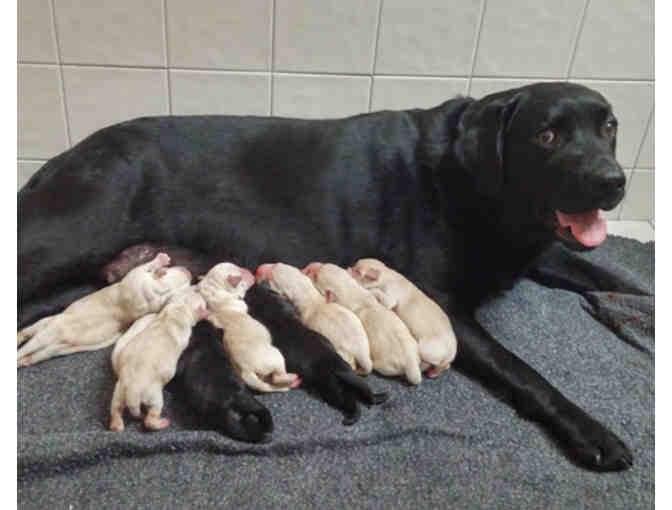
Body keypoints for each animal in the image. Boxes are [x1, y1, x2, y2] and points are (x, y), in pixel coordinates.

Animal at [17, 253, 191, 367]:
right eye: (174, 271)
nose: (189, 272)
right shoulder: (136, 278)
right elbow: (144, 267)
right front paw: (161, 260)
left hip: (50, 348)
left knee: (29, 353)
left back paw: (20, 359)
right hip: (45, 327)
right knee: (29, 335)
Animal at [109, 285, 208, 431]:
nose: (198, 289)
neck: (179, 308)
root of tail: (132, 393)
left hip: (118, 392)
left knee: (115, 409)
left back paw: (116, 424)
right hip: (154, 396)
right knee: (150, 418)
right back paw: (161, 423)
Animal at [198, 262, 301, 392]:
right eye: (241, 275)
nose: (250, 272)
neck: (214, 289)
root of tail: (246, 371)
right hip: (276, 356)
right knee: (278, 377)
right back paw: (294, 379)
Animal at [246, 283, 388, 425]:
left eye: (249, 294)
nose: (254, 284)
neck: (275, 314)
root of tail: (336, 367)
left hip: (332, 389)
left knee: (350, 404)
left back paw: (351, 417)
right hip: (350, 379)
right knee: (365, 393)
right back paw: (379, 397)